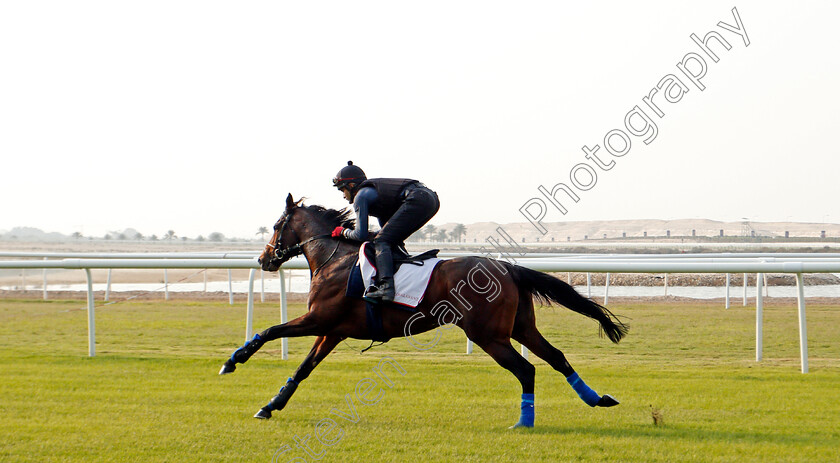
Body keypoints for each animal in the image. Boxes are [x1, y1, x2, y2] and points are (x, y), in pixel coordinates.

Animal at [220, 194, 628, 430]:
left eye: (277, 226)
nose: (264, 259)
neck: (334, 259)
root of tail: (508, 267)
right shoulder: (332, 330)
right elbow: (303, 369)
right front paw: (270, 406)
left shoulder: (319, 320)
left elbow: (270, 331)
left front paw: (233, 361)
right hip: (520, 327)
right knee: (557, 357)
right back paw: (596, 398)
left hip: (488, 334)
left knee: (526, 369)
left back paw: (524, 422)